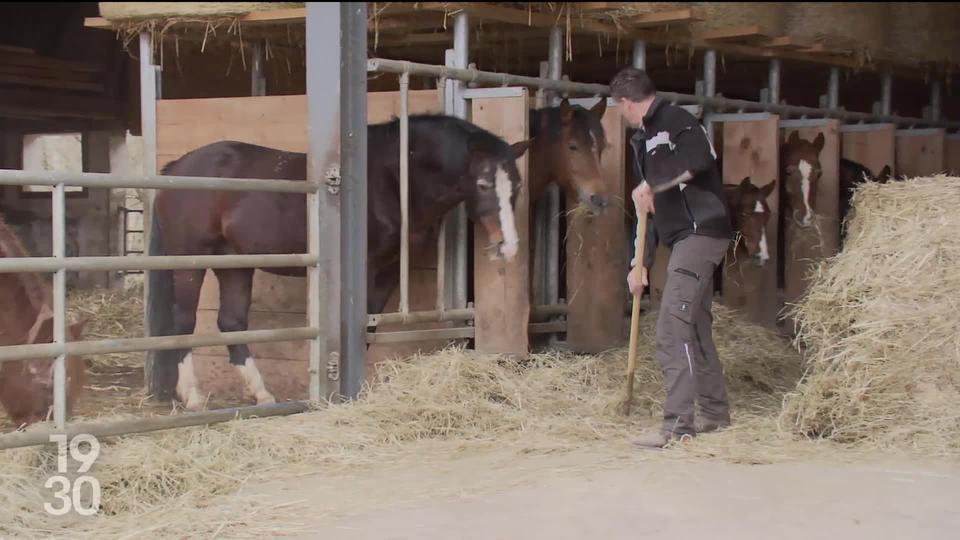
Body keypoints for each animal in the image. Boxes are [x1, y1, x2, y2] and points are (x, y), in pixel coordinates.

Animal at [158, 114, 532, 410]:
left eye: (516, 186)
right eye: (482, 184)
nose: (509, 246)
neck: (391, 180)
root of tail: (177, 168)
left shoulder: (388, 271)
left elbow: (370, 326)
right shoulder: (365, 270)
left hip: (234, 264)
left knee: (232, 322)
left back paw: (262, 395)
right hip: (190, 261)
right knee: (184, 321)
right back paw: (193, 397)